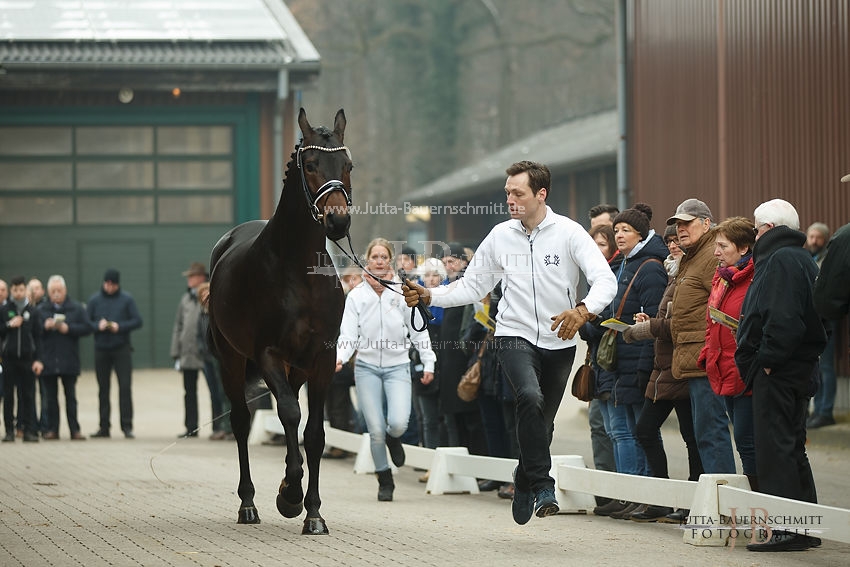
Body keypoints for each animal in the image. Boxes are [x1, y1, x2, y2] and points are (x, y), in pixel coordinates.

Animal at [208, 108, 352, 536]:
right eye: (310, 164)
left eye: (348, 165)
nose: (338, 222)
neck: (298, 271)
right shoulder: (267, 353)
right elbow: (289, 413)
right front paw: (289, 494)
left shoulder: (322, 358)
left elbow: (314, 432)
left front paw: (314, 512)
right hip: (231, 359)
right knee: (241, 422)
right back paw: (249, 503)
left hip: (297, 367)